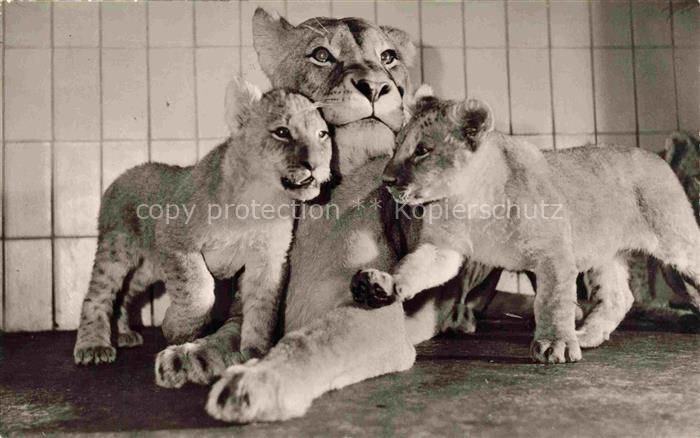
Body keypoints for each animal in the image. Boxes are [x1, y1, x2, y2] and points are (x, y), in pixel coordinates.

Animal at [73, 79, 332, 386]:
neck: (261, 200)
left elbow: (262, 308)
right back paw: (93, 346)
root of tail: (121, 176)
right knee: (98, 294)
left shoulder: (268, 260)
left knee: (126, 292)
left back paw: (123, 333)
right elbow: (199, 291)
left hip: (149, 267)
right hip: (117, 249)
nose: (316, 166)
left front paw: (255, 353)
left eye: (323, 135)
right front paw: (175, 328)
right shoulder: (175, 239)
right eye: (282, 132)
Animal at [349, 95, 700, 364]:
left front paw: (556, 344)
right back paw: (588, 335)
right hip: (605, 254)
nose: (386, 179)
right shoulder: (443, 249)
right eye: (396, 146)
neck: (467, 200)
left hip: (675, 243)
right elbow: (414, 268)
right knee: (619, 297)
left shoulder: (553, 250)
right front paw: (381, 285)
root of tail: (656, 156)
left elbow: (552, 300)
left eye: (422, 150)